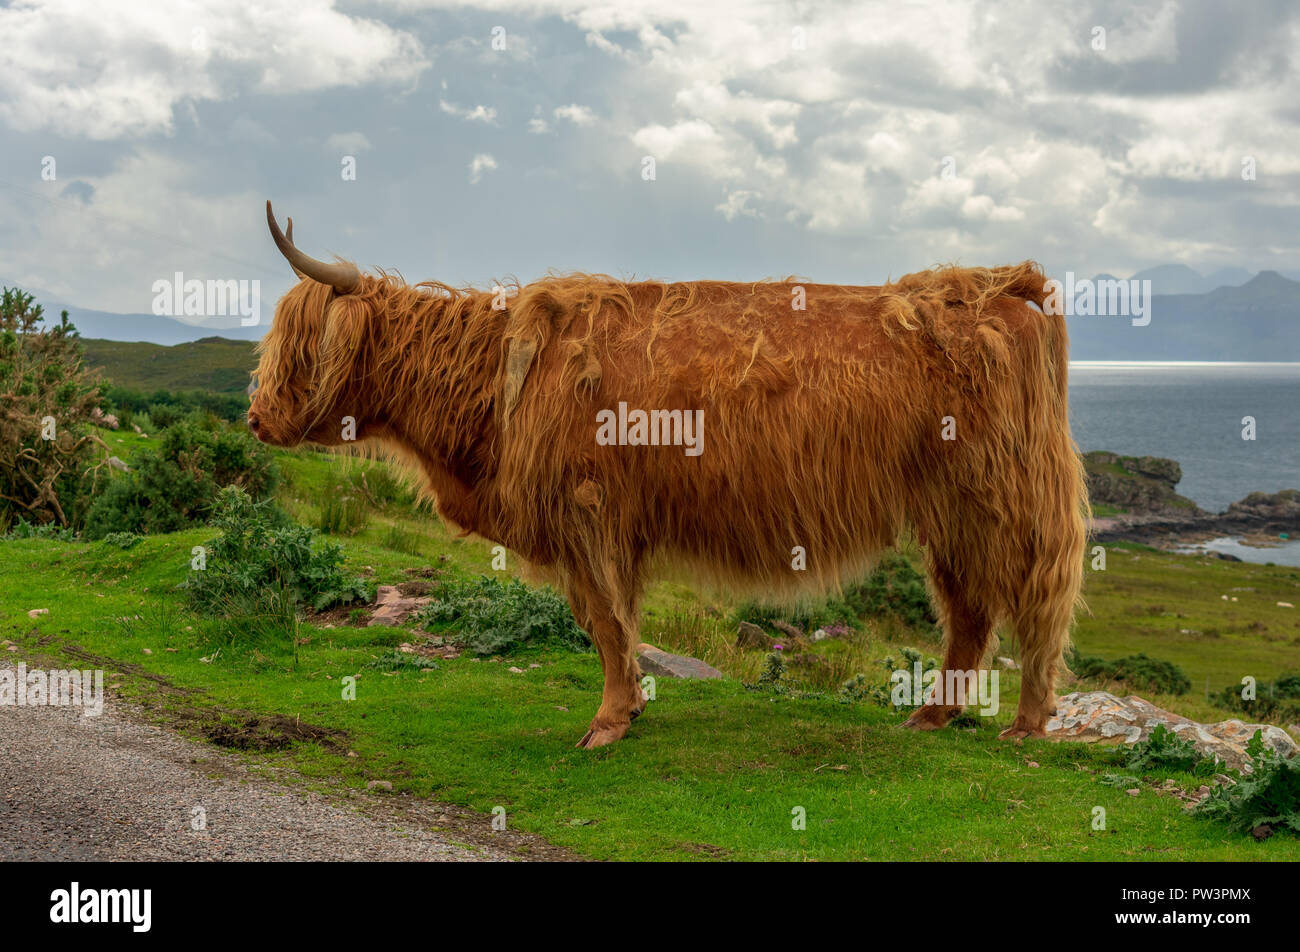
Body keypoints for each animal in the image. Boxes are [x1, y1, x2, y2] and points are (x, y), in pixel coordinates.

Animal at [250, 202, 1086, 749]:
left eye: (299, 342)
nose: (256, 418)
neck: (493, 382)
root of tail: (995, 284)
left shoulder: (587, 515)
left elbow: (605, 622)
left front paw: (609, 722)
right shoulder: (605, 526)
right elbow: (612, 622)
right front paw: (629, 710)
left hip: (1006, 496)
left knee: (1035, 603)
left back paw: (1025, 726)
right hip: (951, 509)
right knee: (970, 608)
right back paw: (934, 714)